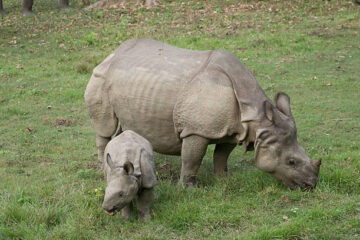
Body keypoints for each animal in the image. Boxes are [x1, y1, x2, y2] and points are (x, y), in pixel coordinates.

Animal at [86, 38, 322, 190]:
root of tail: (112, 53)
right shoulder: (196, 130)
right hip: (100, 75)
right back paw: (102, 170)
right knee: (105, 126)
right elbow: (192, 159)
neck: (257, 119)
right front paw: (189, 189)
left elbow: (221, 155)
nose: (310, 186)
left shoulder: (233, 129)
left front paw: (223, 180)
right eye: (291, 162)